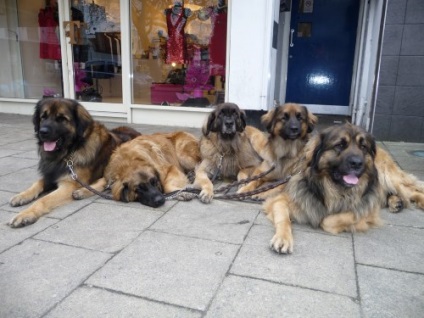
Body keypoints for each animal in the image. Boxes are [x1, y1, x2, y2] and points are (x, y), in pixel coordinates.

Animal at [8, 98, 140, 227]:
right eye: (43, 117)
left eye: (61, 118)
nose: (42, 132)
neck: (68, 152)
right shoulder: (51, 174)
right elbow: (37, 183)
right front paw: (22, 196)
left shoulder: (69, 184)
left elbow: (44, 199)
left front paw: (25, 214)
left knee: (106, 180)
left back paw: (82, 192)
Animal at [72, 131, 201, 207]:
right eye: (139, 189)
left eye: (154, 182)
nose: (160, 200)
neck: (129, 162)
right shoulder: (109, 177)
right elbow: (96, 185)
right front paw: (81, 191)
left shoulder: (169, 168)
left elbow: (168, 184)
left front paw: (182, 193)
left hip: (184, 155)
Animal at [264, 123, 382, 253]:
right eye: (340, 145)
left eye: (363, 147)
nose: (357, 163)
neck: (333, 188)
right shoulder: (281, 200)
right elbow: (283, 219)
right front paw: (282, 238)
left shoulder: (370, 212)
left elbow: (328, 220)